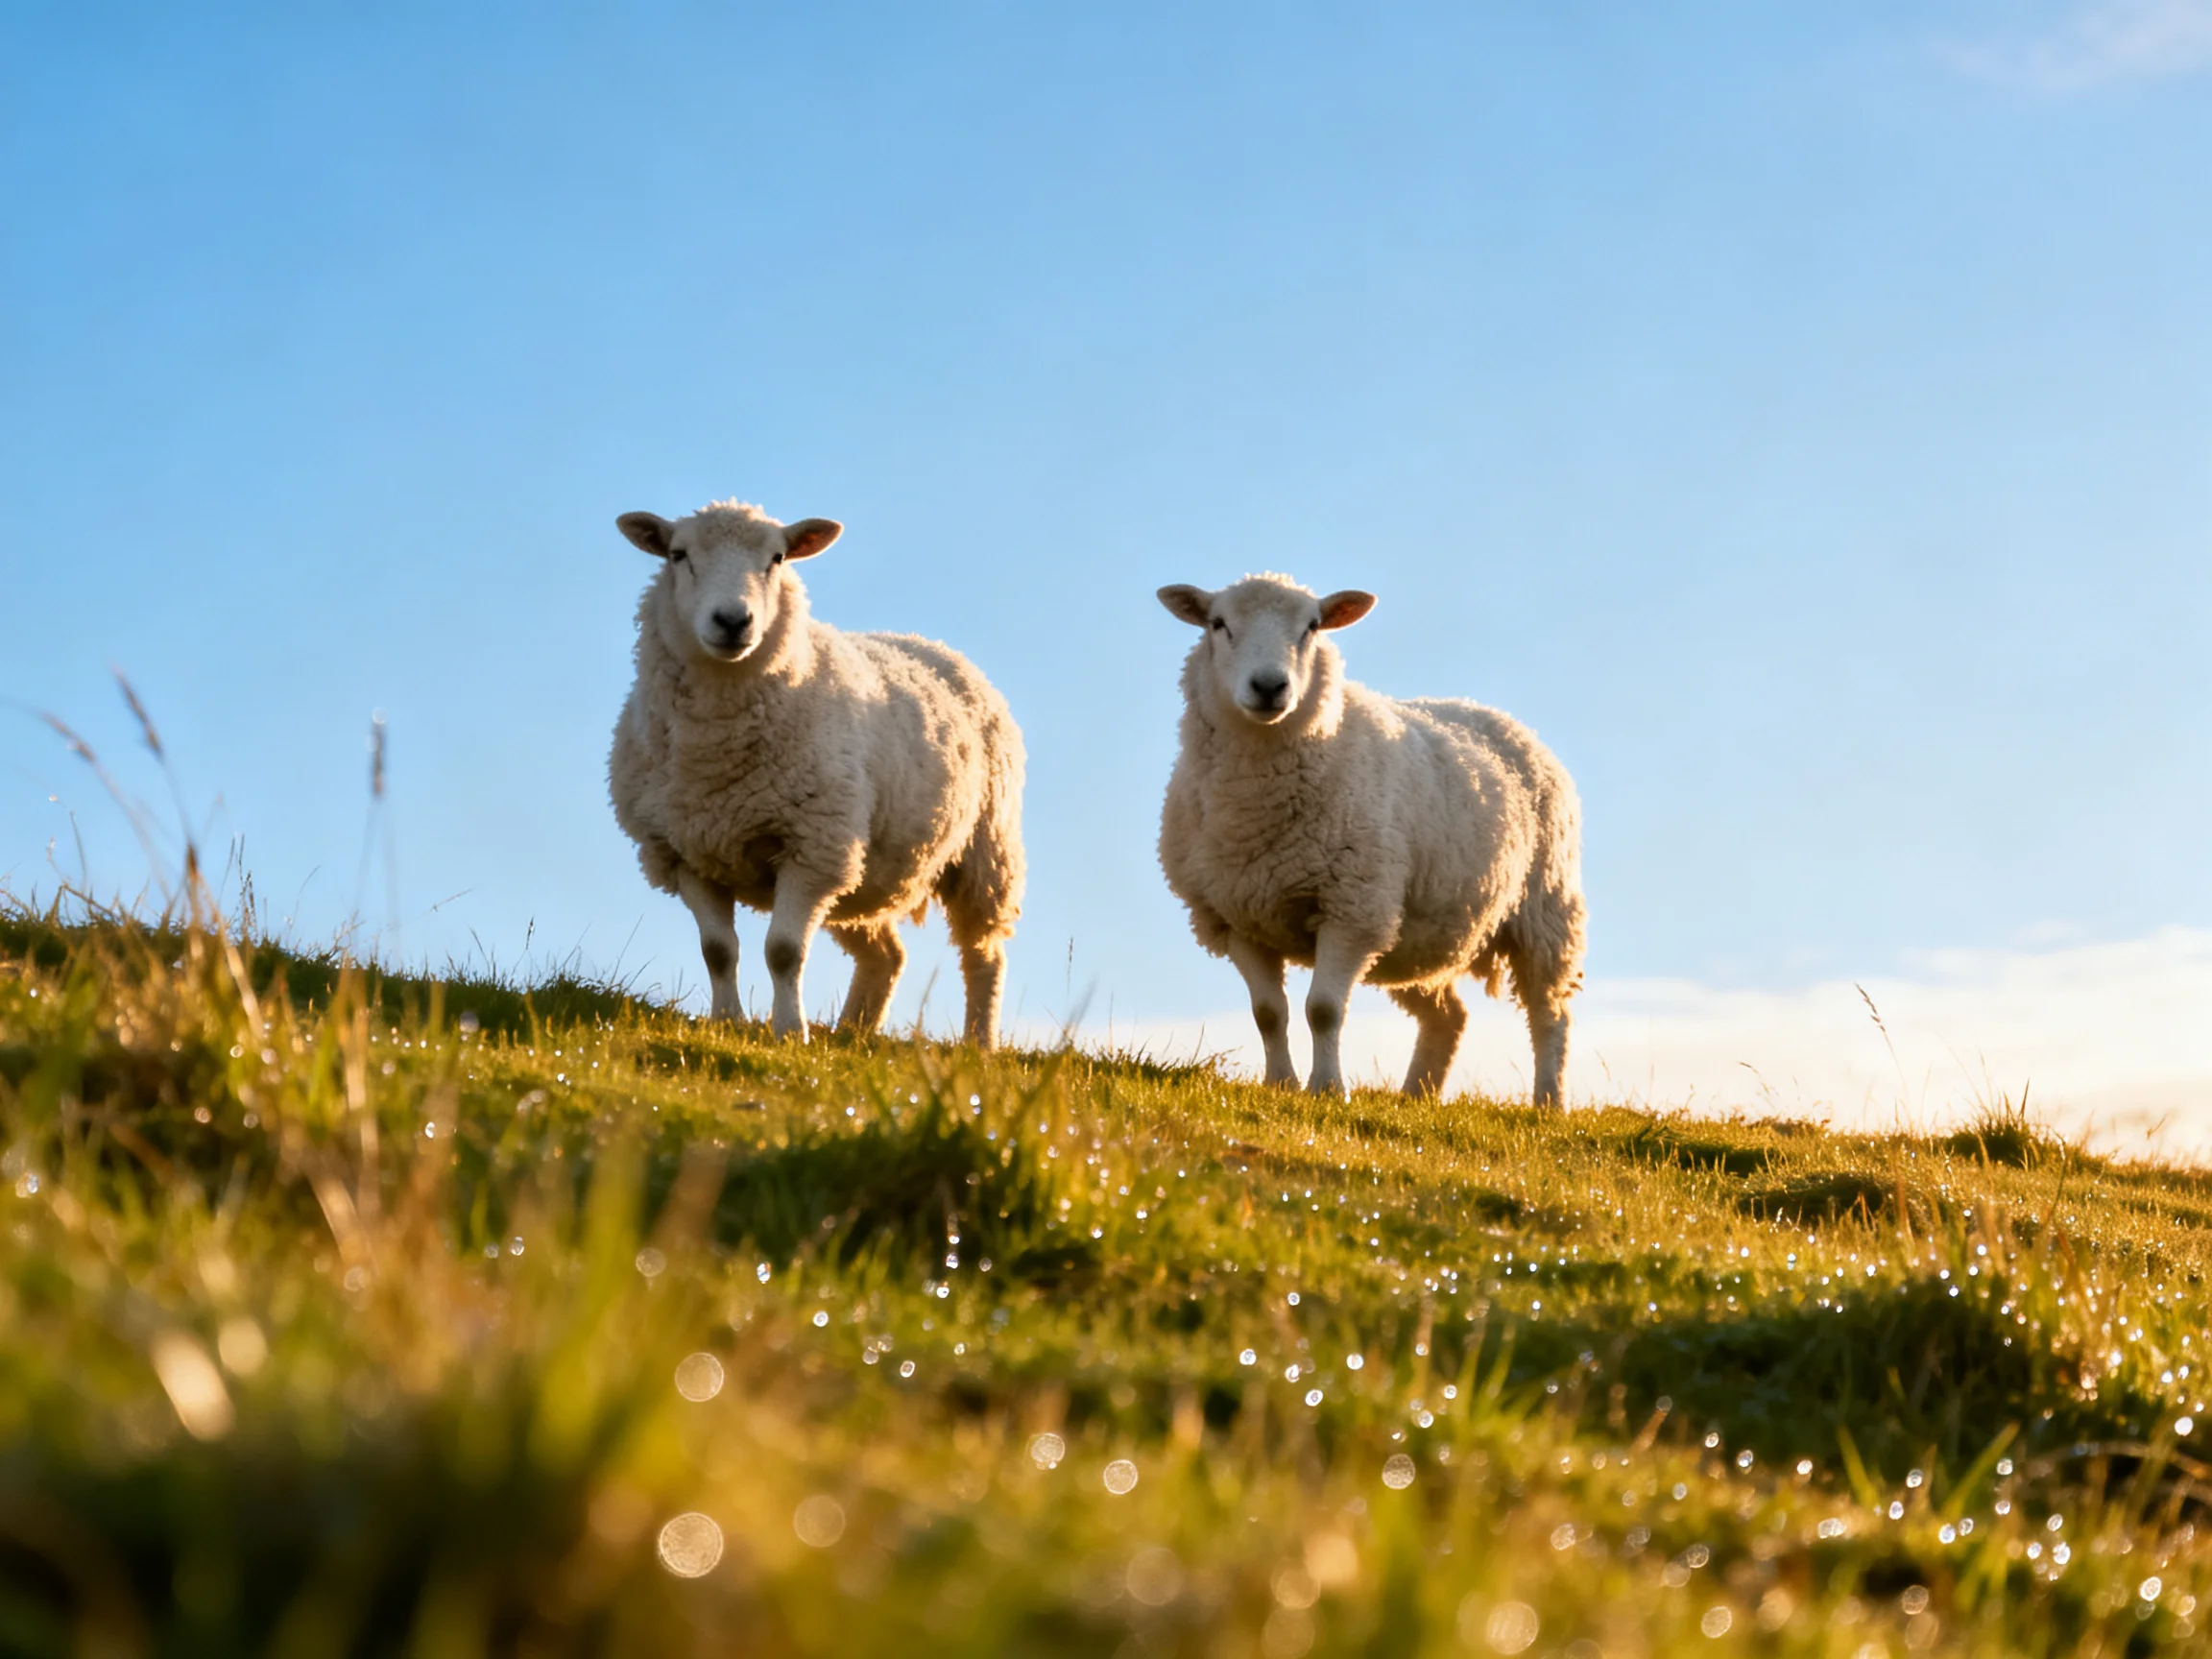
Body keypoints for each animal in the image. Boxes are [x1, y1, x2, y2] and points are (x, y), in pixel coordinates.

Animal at [608, 499, 1024, 1048]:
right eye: (679, 555)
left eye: (778, 558)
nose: (733, 621)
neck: (717, 755)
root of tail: (928, 643)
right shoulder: (686, 854)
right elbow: (717, 951)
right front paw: (727, 1023)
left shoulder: (810, 848)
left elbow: (784, 950)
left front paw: (790, 1031)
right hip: (862, 871)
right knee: (886, 955)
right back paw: (852, 1035)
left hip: (982, 853)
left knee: (984, 955)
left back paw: (979, 1042)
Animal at [1155, 573, 1584, 1104]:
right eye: (1218, 624)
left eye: (1312, 627)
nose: (1270, 686)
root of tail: (1494, 714)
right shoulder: (1234, 918)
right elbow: (1268, 1014)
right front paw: (1280, 1084)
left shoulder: (1351, 909)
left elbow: (1322, 1010)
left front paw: (1325, 1089)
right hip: (1415, 934)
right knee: (1449, 1017)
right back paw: (1415, 1097)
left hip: (1544, 911)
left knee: (1549, 1014)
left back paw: (1547, 1102)